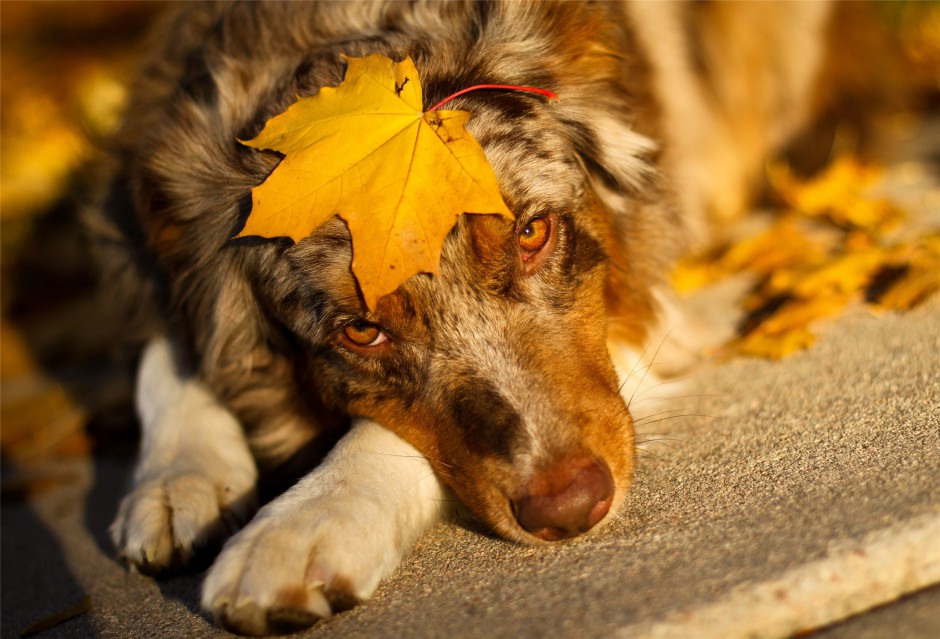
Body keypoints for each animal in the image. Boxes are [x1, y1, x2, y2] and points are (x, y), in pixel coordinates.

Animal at [90, 2, 852, 636]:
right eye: (361, 331)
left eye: (533, 233)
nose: (571, 509)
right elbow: (167, 352)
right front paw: (178, 477)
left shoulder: (647, 305)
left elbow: (378, 435)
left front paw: (302, 526)